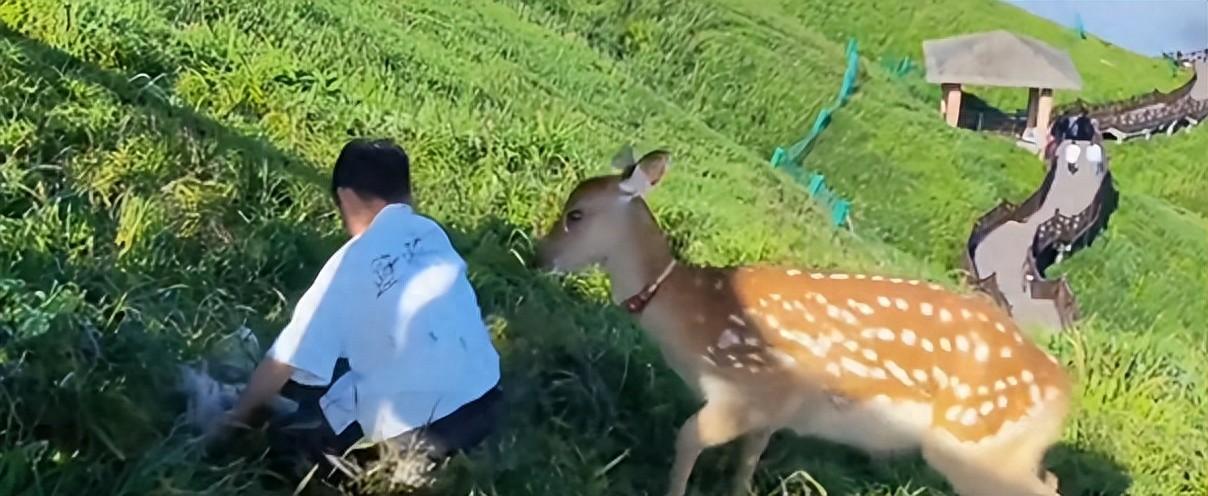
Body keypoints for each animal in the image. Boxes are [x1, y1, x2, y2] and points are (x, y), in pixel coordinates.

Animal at [534, 145, 1073, 496]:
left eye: (576, 214)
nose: (540, 257)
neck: (693, 317)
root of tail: (1061, 392)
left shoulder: (750, 389)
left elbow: (688, 438)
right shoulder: (774, 410)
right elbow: (746, 462)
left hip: (974, 443)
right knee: (1051, 479)